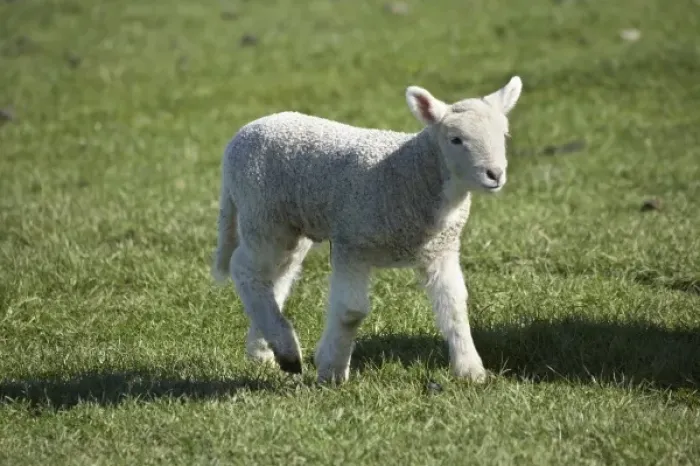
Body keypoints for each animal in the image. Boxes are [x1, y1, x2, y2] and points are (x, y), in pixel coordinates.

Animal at [212, 76, 523, 383]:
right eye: (455, 139)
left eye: (505, 136)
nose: (495, 175)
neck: (413, 172)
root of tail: (244, 132)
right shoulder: (353, 243)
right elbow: (351, 311)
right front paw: (332, 370)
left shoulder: (441, 249)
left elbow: (455, 306)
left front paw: (471, 371)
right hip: (261, 214)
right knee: (245, 269)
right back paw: (286, 350)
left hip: (287, 225)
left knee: (275, 278)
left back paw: (265, 352)